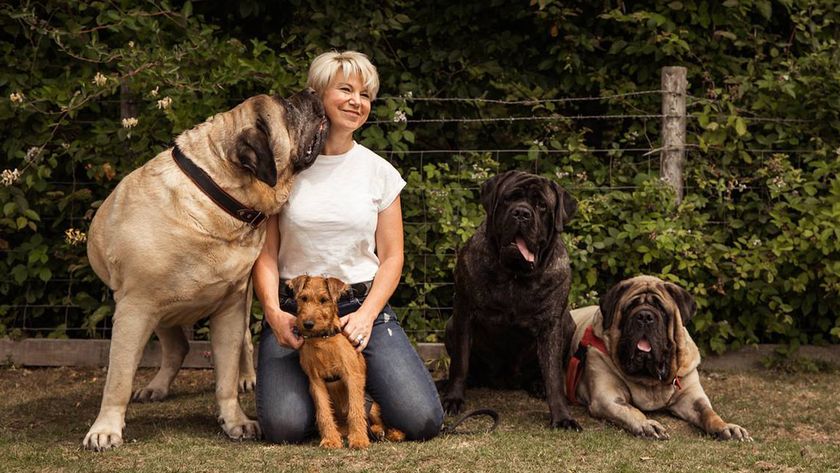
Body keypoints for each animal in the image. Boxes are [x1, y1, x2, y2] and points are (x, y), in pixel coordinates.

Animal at [290, 272, 406, 446]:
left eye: (324, 300)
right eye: (303, 298)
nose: (308, 324)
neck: (323, 339)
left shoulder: (352, 376)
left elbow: (356, 410)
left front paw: (358, 439)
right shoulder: (316, 381)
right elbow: (324, 412)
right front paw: (330, 439)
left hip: (372, 406)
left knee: (378, 421)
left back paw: (390, 433)